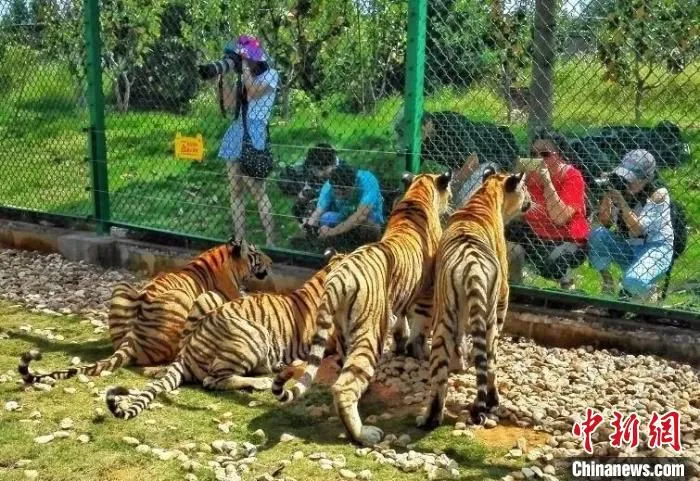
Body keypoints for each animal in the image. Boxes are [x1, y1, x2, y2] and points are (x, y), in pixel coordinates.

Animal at [272, 171, 453, 446]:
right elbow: (420, 329)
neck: (417, 194)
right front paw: (418, 352)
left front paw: (402, 344)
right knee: (343, 387)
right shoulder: (426, 294)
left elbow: (402, 322)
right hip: (370, 332)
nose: (451, 203)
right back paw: (363, 434)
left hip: (343, 332)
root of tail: (338, 276)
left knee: (346, 369)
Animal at [417, 168, 531, 430]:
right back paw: (490, 402)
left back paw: (430, 419)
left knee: (440, 375)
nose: (530, 202)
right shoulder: (503, 296)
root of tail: (472, 269)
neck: (487, 194)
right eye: (526, 188)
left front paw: (460, 360)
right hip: (488, 319)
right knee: (489, 362)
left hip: (444, 319)